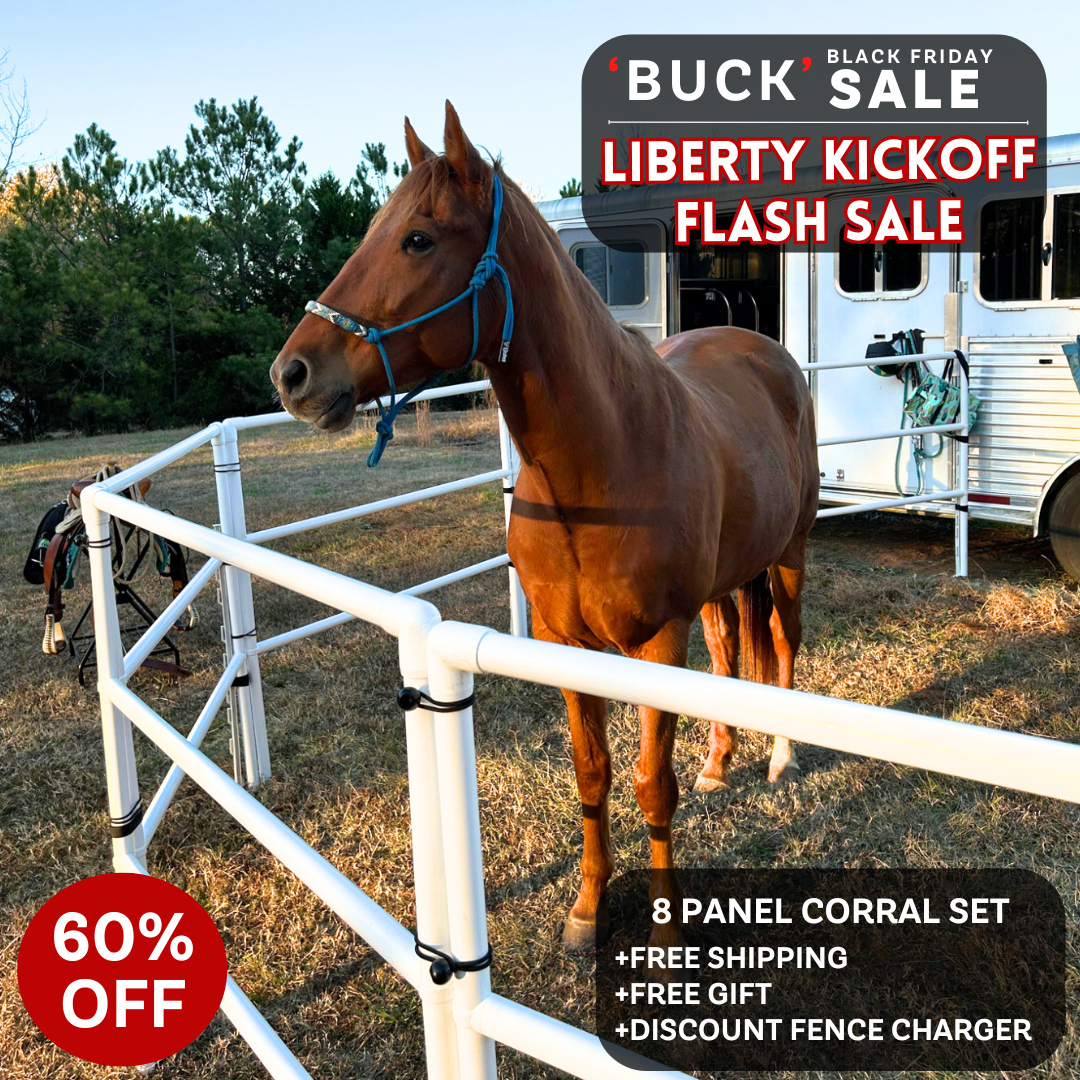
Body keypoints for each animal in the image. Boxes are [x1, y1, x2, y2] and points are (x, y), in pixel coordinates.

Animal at [271, 102, 819, 952]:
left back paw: (780, 758)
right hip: (724, 584)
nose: (292, 375)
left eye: (418, 238)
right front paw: (587, 909)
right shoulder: (567, 647)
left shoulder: (656, 644)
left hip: (789, 556)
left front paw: (665, 934)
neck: (597, 471)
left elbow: (650, 785)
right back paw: (721, 758)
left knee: (783, 646)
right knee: (731, 647)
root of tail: (765, 352)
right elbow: (593, 775)